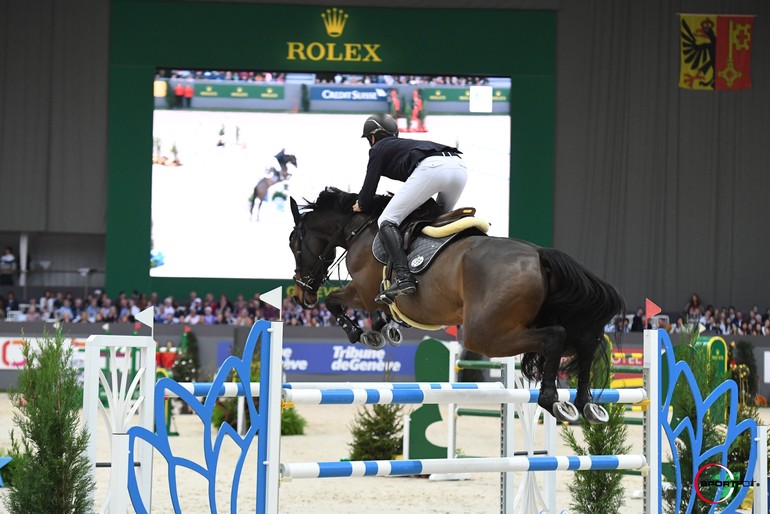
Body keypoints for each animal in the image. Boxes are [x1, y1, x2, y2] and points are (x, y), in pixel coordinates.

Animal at [288, 186, 624, 422]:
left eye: (293, 243)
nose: (301, 296)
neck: (360, 228)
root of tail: (540, 255)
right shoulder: (374, 298)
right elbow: (377, 312)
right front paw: (384, 329)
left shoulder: (362, 292)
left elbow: (334, 301)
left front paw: (363, 334)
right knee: (584, 342)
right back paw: (587, 404)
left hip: (485, 334)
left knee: (555, 337)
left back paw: (553, 399)